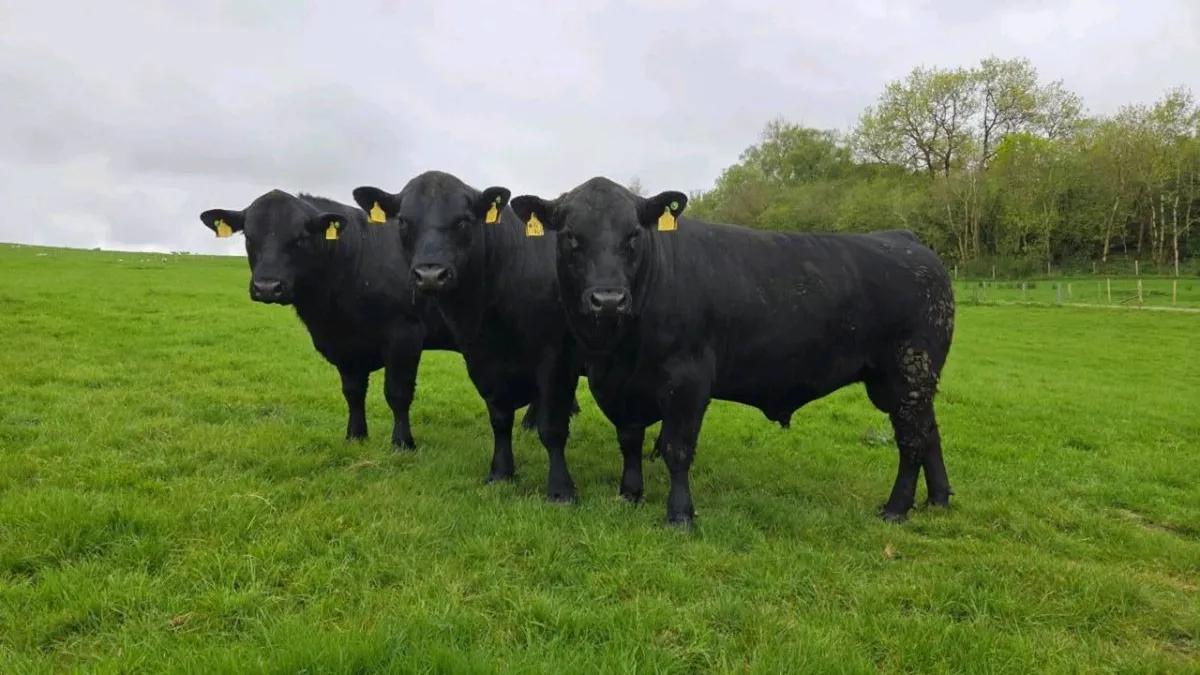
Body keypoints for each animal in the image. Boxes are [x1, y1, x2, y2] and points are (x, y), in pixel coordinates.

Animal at [197, 189, 554, 449]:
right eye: (249, 237)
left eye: (300, 237)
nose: (268, 286)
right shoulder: (344, 345)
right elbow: (353, 392)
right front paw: (355, 435)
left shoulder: (404, 336)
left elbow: (397, 393)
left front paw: (402, 443)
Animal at [349, 171, 594, 503]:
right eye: (403, 221)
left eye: (463, 220)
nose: (430, 275)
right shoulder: (481, 358)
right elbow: (500, 420)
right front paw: (501, 472)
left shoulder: (556, 358)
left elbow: (553, 428)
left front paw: (560, 489)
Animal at [509, 177, 956, 529]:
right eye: (571, 236)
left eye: (633, 235)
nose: (608, 300)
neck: (616, 350)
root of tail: (906, 240)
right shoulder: (624, 386)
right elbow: (630, 439)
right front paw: (629, 493)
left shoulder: (687, 381)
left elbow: (676, 449)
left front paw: (680, 515)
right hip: (903, 381)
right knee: (929, 432)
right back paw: (938, 499)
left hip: (909, 372)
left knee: (911, 439)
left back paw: (896, 508)